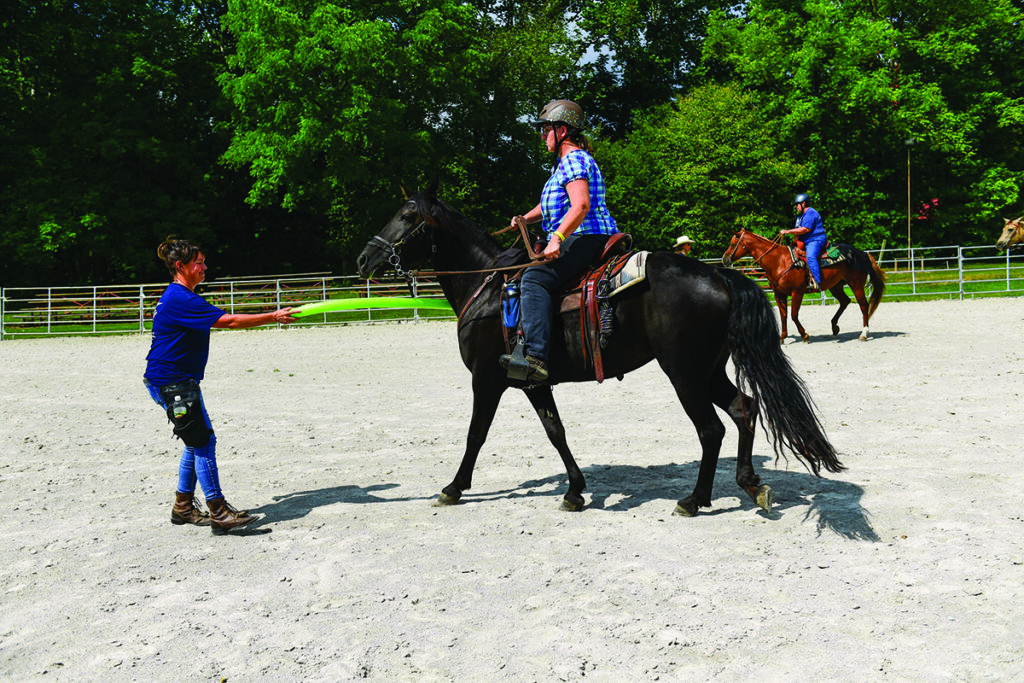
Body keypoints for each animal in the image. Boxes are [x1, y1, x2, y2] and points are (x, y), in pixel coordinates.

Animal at [356, 184, 843, 516]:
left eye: (407, 215)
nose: (364, 258)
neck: (491, 287)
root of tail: (719, 276)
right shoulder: (533, 382)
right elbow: (556, 432)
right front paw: (574, 490)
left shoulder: (487, 380)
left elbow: (476, 434)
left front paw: (454, 487)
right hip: (709, 371)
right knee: (744, 409)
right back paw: (750, 485)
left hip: (684, 373)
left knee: (711, 429)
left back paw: (694, 499)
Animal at [724, 229, 884, 344]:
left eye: (732, 244)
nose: (724, 259)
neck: (779, 261)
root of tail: (862, 253)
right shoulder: (779, 294)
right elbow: (783, 315)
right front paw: (782, 337)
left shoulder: (797, 292)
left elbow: (794, 315)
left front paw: (805, 335)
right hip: (836, 286)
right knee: (845, 301)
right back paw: (834, 326)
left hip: (856, 284)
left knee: (863, 305)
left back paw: (864, 333)